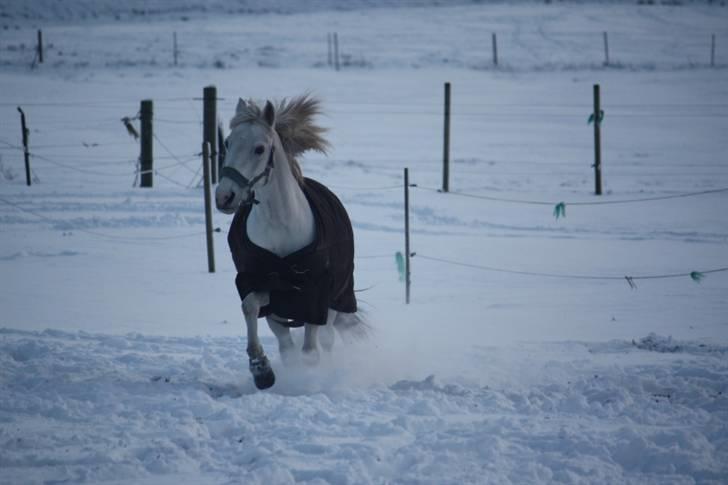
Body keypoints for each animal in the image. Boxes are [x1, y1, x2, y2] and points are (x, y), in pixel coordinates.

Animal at [215, 95, 364, 390]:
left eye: (259, 148)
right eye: (227, 142)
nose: (224, 196)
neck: (279, 225)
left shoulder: (315, 294)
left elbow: (311, 353)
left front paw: (309, 381)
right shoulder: (261, 283)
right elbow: (250, 308)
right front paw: (261, 370)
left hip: (336, 299)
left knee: (326, 340)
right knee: (286, 345)